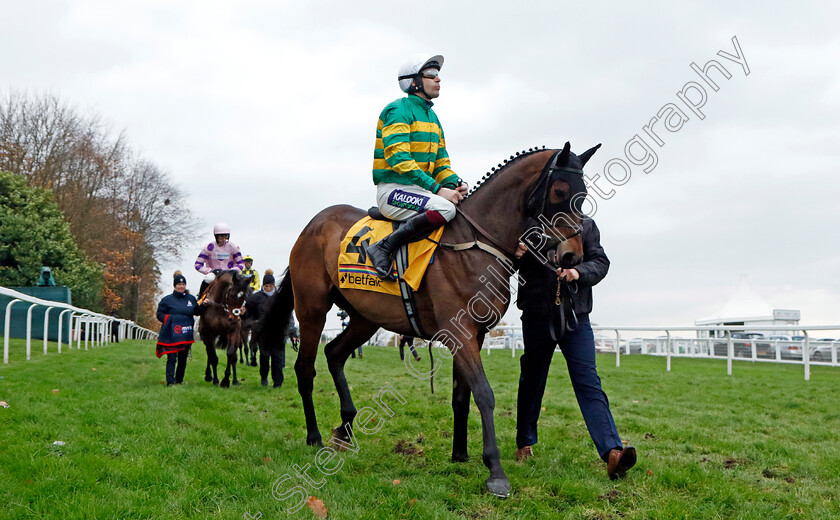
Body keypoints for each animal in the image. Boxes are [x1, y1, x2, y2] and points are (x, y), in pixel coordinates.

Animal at [260, 141, 596, 496]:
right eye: (560, 191)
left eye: (584, 194)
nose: (572, 256)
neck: (474, 243)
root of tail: (313, 224)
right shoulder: (460, 332)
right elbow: (484, 394)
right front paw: (495, 470)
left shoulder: (474, 334)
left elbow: (462, 395)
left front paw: (460, 454)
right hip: (312, 309)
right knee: (305, 368)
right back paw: (314, 436)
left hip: (365, 317)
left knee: (335, 353)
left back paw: (346, 426)